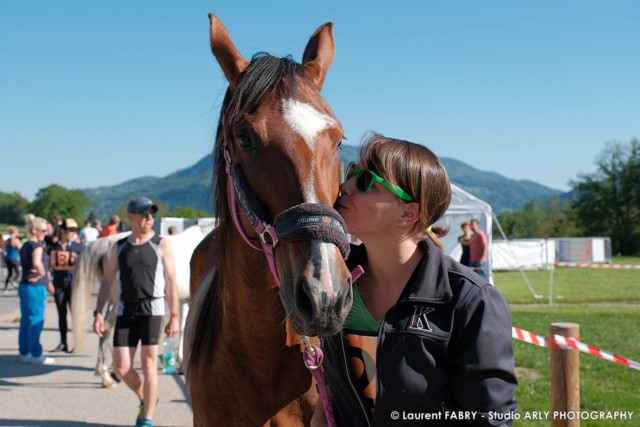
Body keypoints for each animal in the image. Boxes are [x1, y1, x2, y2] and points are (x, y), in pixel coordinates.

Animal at [72, 226, 212, 390]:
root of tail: (105, 243)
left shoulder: (186, 300)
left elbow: (183, 327)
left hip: (112, 300)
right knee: (107, 330)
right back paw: (106, 376)